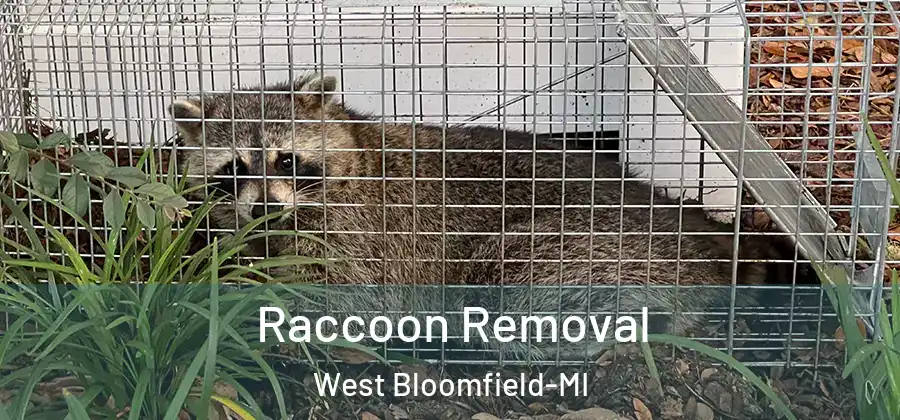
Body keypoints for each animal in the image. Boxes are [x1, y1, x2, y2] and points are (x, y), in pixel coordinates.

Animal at [167, 73, 788, 361]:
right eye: (233, 168)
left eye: (287, 160)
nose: (265, 207)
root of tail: (701, 236)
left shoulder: (366, 236)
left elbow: (346, 298)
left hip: (583, 246)